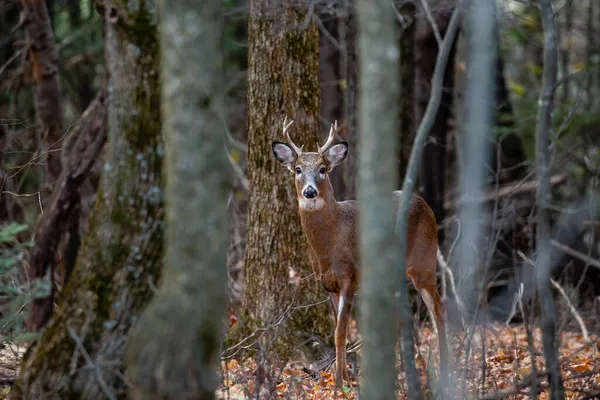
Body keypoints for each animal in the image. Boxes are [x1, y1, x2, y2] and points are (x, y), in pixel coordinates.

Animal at [270, 117, 446, 390]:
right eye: (298, 169)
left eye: (323, 169)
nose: (310, 192)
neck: (329, 244)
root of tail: (426, 205)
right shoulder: (328, 284)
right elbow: (338, 332)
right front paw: (343, 377)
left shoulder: (349, 276)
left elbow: (341, 330)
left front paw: (340, 383)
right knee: (400, 319)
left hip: (424, 262)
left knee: (439, 311)